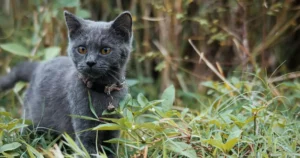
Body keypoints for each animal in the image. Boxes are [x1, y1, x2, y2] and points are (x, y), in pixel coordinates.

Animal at [0, 10, 132, 157]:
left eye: (105, 50)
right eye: (82, 49)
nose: (90, 62)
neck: (103, 90)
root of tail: (38, 66)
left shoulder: (114, 127)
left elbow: (111, 149)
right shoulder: (84, 127)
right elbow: (88, 150)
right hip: (32, 121)